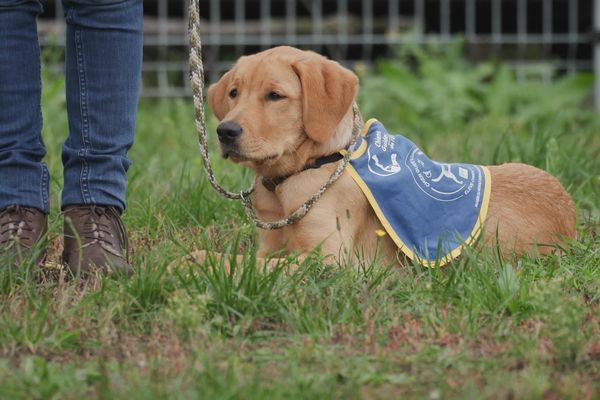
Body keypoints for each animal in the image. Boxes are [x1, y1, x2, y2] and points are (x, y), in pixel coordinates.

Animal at [197, 46, 576, 268]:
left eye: (275, 95)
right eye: (234, 93)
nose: (225, 132)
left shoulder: (329, 259)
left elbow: (252, 266)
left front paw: (194, 259)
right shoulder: (271, 246)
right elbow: (250, 259)